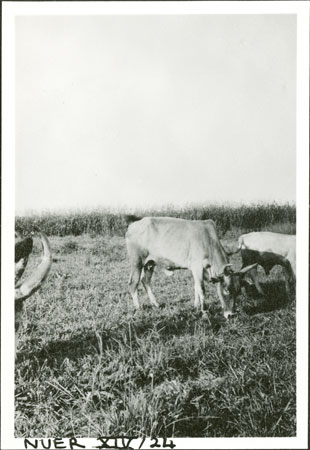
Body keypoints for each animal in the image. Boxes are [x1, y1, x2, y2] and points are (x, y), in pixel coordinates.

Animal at [124, 215, 256, 318]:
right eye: (226, 290)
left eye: (238, 291)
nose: (231, 315)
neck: (208, 240)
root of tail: (134, 225)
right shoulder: (197, 266)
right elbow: (201, 288)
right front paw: (204, 311)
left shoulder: (196, 269)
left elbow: (196, 286)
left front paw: (196, 306)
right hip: (136, 262)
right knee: (133, 283)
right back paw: (138, 307)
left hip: (150, 264)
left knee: (145, 281)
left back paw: (156, 304)